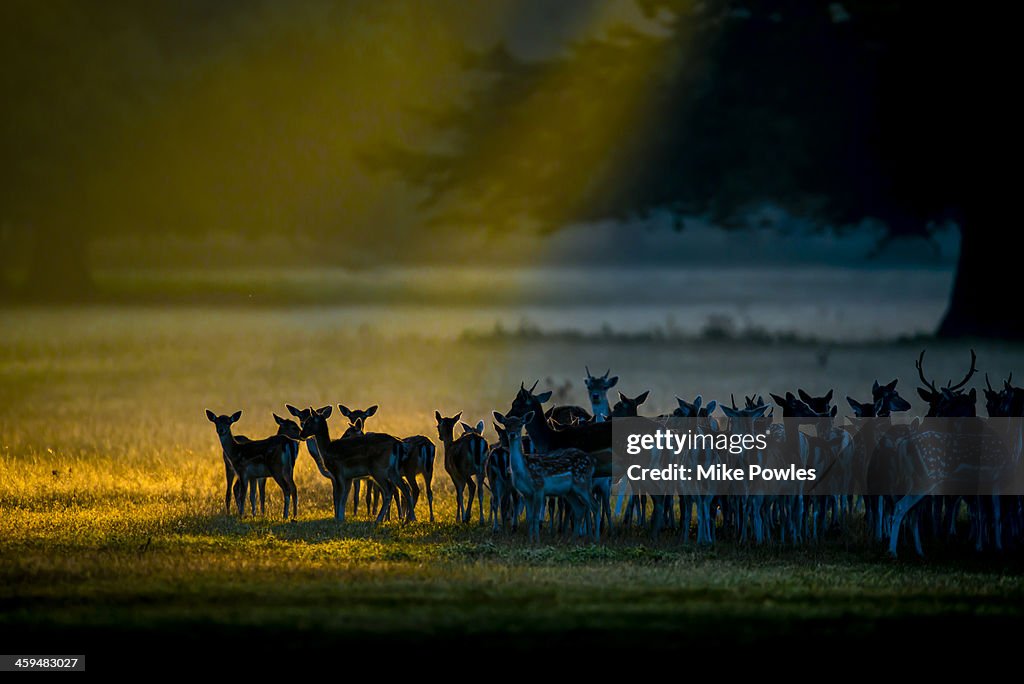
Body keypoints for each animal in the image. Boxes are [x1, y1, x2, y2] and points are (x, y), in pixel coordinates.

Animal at [491, 409, 598, 540]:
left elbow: (536, 516)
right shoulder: (526, 493)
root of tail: (592, 461)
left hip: (582, 484)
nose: (512, 434)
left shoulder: (539, 488)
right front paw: (530, 539)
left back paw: (594, 539)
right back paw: (573, 539)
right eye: (506, 424)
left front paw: (537, 540)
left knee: (594, 506)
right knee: (580, 508)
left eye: (521, 424)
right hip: (570, 491)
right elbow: (529, 518)